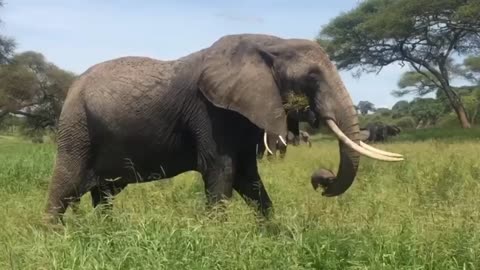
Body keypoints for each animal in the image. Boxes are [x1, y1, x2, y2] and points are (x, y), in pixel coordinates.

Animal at [43, 32, 404, 225]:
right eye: (312, 77)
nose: (321, 178)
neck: (271, 44)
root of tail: (71, 89)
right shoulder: (210, 113)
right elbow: (222, 171)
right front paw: (215, 237)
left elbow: (249, 179)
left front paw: (274, 236)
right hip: (76, 127)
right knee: (65, 186)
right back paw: (55, 239)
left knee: (102, 195)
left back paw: (109, 232)